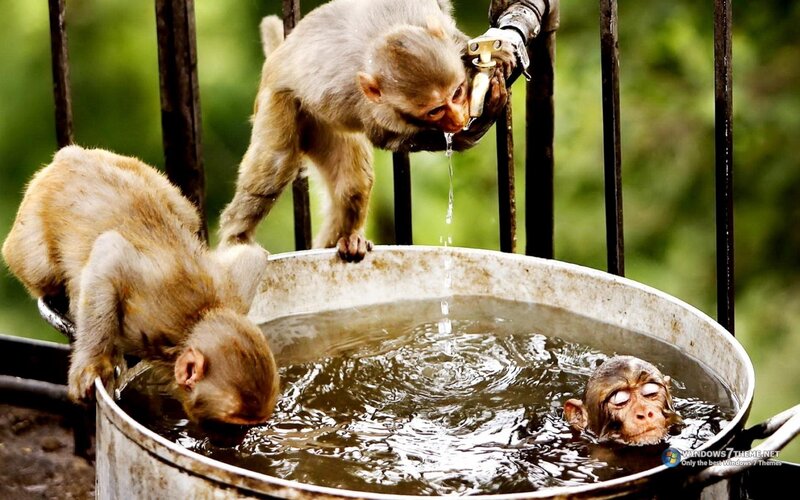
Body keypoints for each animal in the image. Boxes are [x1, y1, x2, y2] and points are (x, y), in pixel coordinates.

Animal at [1, 146, 280, 425]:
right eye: (234, 424)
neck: (196, 318)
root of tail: (70, 155)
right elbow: (110, 252)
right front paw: (92, 364)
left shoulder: (232, 293)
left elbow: (253, 255)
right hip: (31, 231)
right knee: (42, 270)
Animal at [219, 0, 511, 262]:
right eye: (435, 111)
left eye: (458, 92)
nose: (459, 118)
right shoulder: (376, 111)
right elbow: (388, 138)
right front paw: (470, 131)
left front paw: (492, 58)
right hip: (281, 101)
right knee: (275, 165)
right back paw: (236, 239)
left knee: (353, 185)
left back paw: (345, 240)